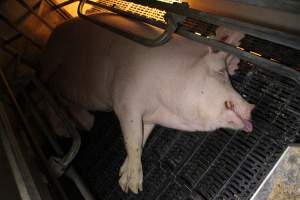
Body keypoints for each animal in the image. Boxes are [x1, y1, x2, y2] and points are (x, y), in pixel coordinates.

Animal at [39, 12, 254, 194]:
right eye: (220, 72)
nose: (252, 108)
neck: (164, 104)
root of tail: (59, 27)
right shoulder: (125, 100)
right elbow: (132, 138)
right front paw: (134, 188)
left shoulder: (150, 118)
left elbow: (142, 138)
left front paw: (124, 179)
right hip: (52, 57)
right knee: (41, 85)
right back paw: (65, 130)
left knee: (58, 94)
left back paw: (86, 124)